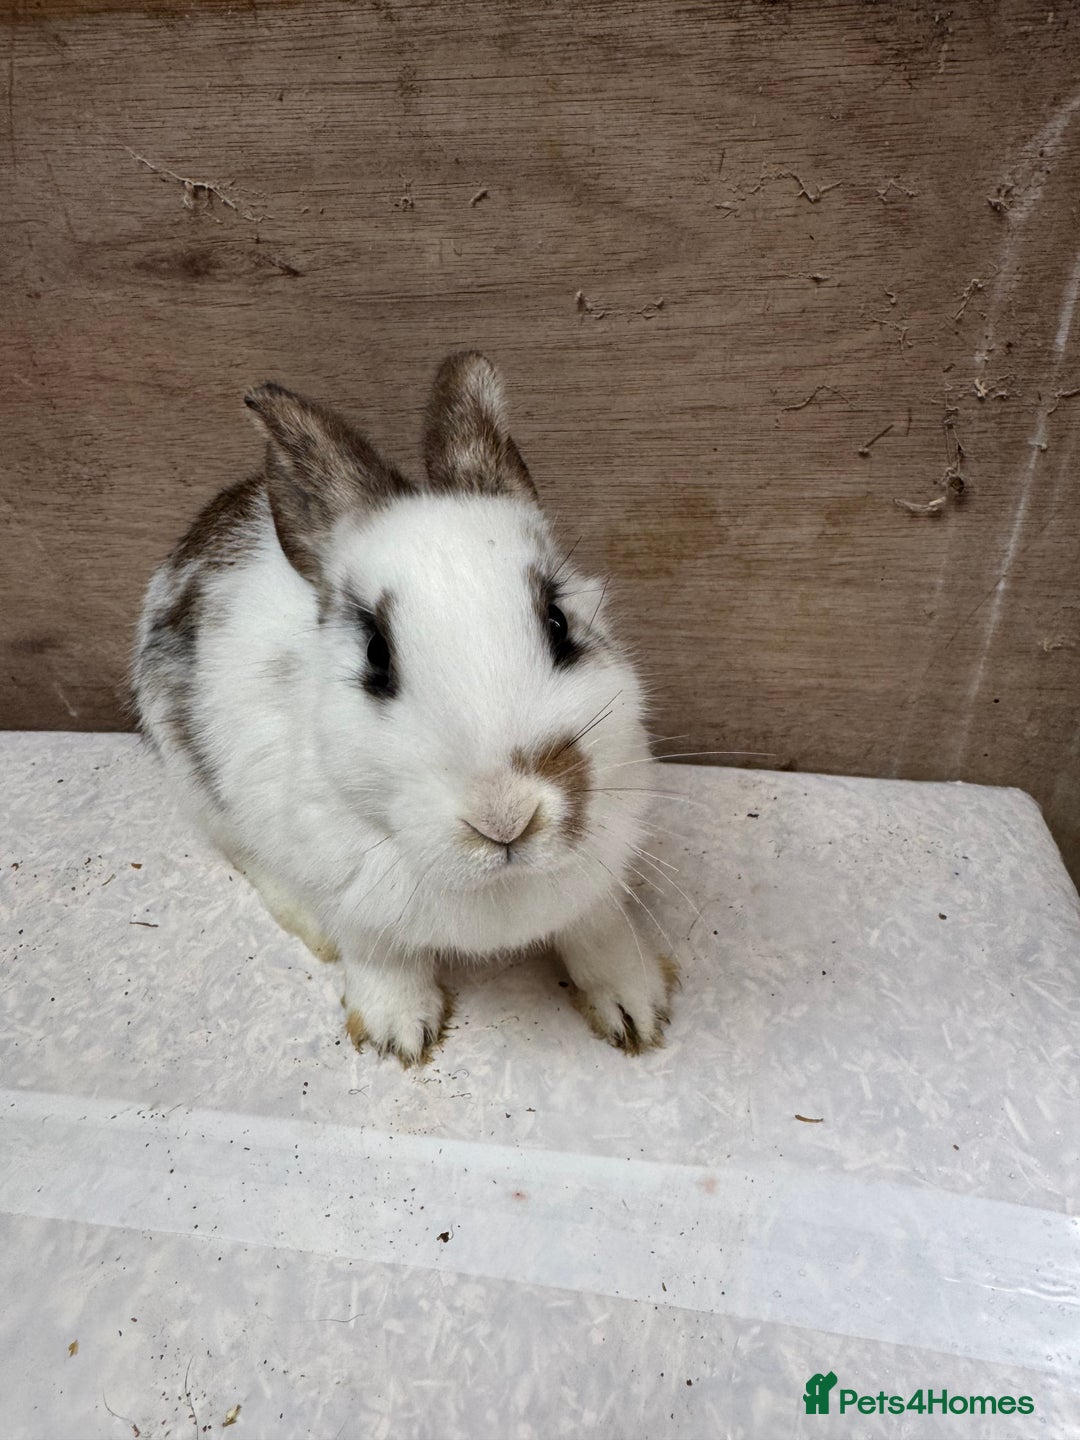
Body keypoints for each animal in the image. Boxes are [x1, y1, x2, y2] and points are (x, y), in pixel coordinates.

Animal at [133, 351, 676, 1065]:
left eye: (559, 622)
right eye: (376, 655)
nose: (505, 817)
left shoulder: (600, 882)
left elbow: (601, 935)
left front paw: (636, 1010)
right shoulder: (357, 906)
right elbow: (381, 959)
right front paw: (400, 1031)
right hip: (198, 785)